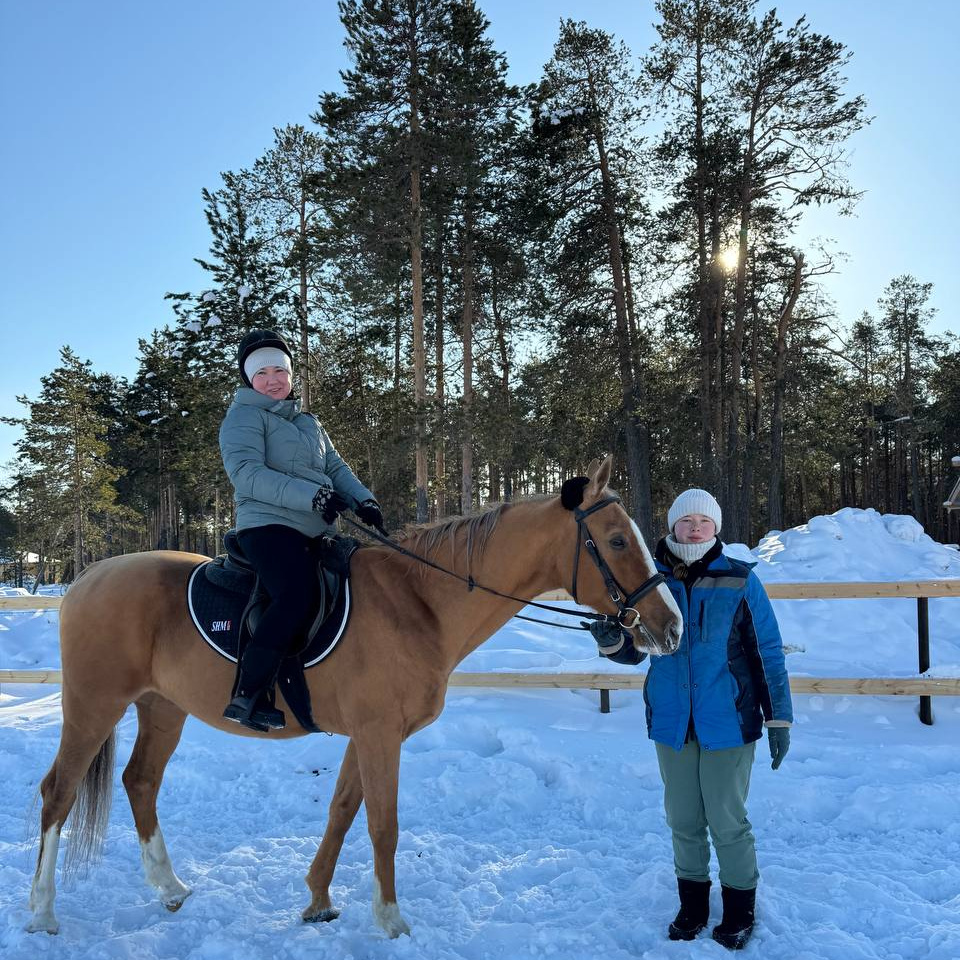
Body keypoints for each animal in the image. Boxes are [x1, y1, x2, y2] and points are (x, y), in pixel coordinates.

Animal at [24, 456, 684, 936]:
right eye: (617, 541)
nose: (670, 625)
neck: (419, 603)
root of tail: (85, 579)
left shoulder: (364, 736)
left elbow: (342, 812)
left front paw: (318, 899)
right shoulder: (379, 735)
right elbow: (383, 824)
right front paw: (390, 919)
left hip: (163, 708)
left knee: (140, 782)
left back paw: (170, 888)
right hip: (95, 704)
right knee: (58, 792)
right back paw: (42, 912)